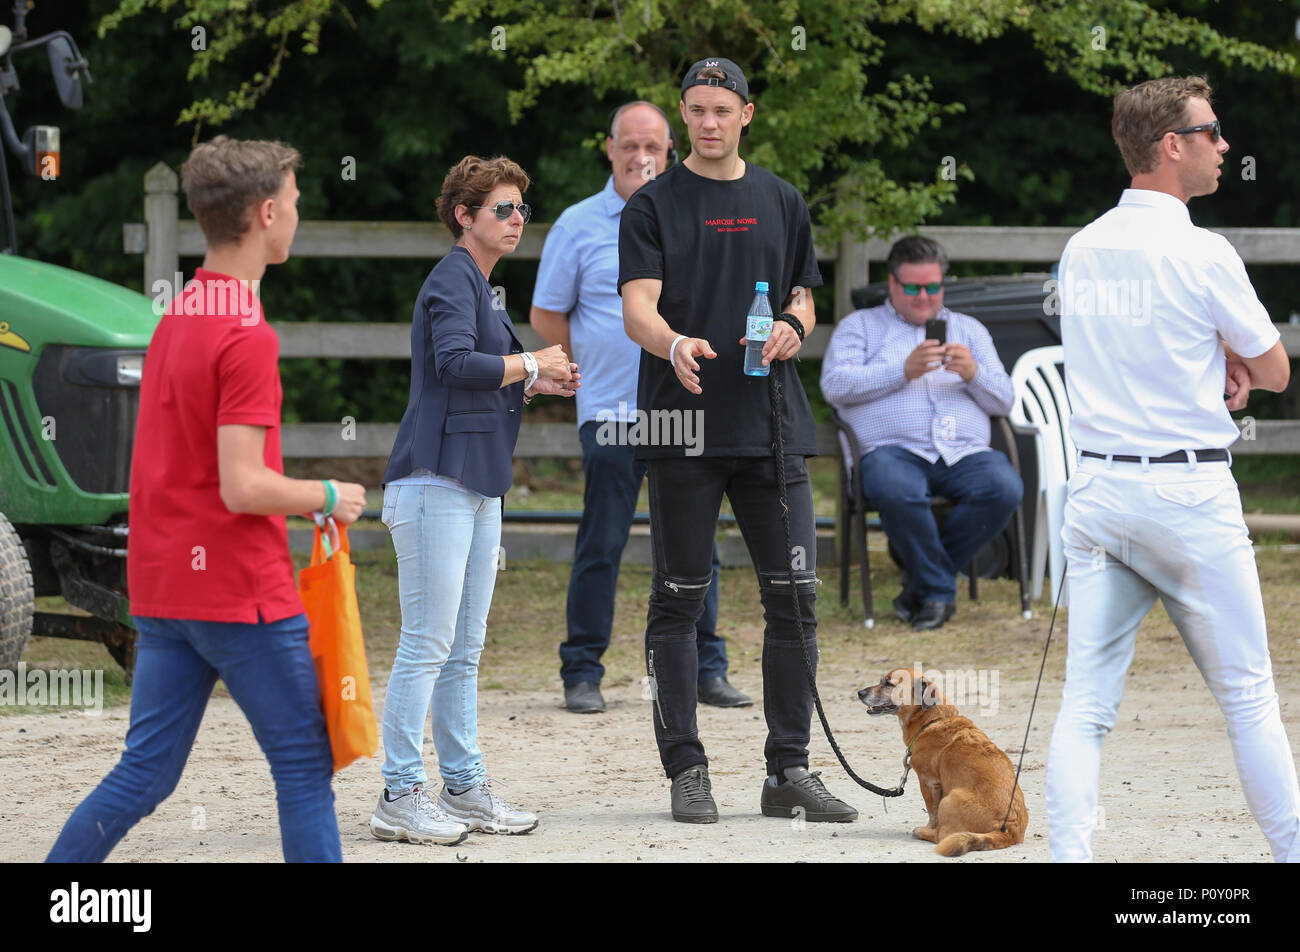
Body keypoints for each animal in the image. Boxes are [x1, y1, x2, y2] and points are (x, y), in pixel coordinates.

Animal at [857, 671, 1029, 853]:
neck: (932, 720)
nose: (859, 693)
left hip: (949, 799)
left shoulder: (928, 783)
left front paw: (928, 827)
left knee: (942, 835)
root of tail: (1007, 831)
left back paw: (922, 832)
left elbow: (932, 814)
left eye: (889, 684)